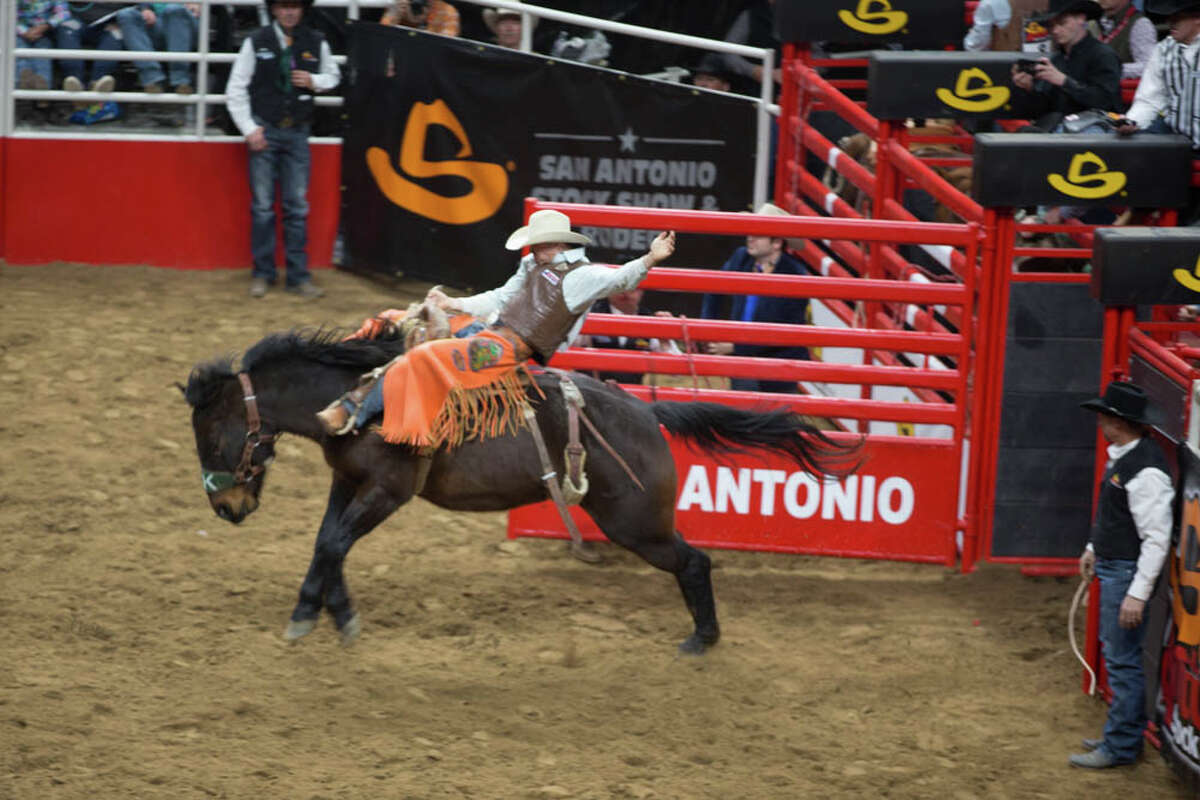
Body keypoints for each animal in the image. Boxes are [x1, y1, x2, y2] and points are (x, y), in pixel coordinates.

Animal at [182, 328, 859, 652]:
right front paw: (332, 614)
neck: (358, 398)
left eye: (212, 435)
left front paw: (311, 617)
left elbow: (333, 545)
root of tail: (648, 412)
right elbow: (330, 544)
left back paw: (702, 640)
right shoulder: (348, 481)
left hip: (635, 521)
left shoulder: (389, 489)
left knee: (694, 562)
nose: (225, 507)